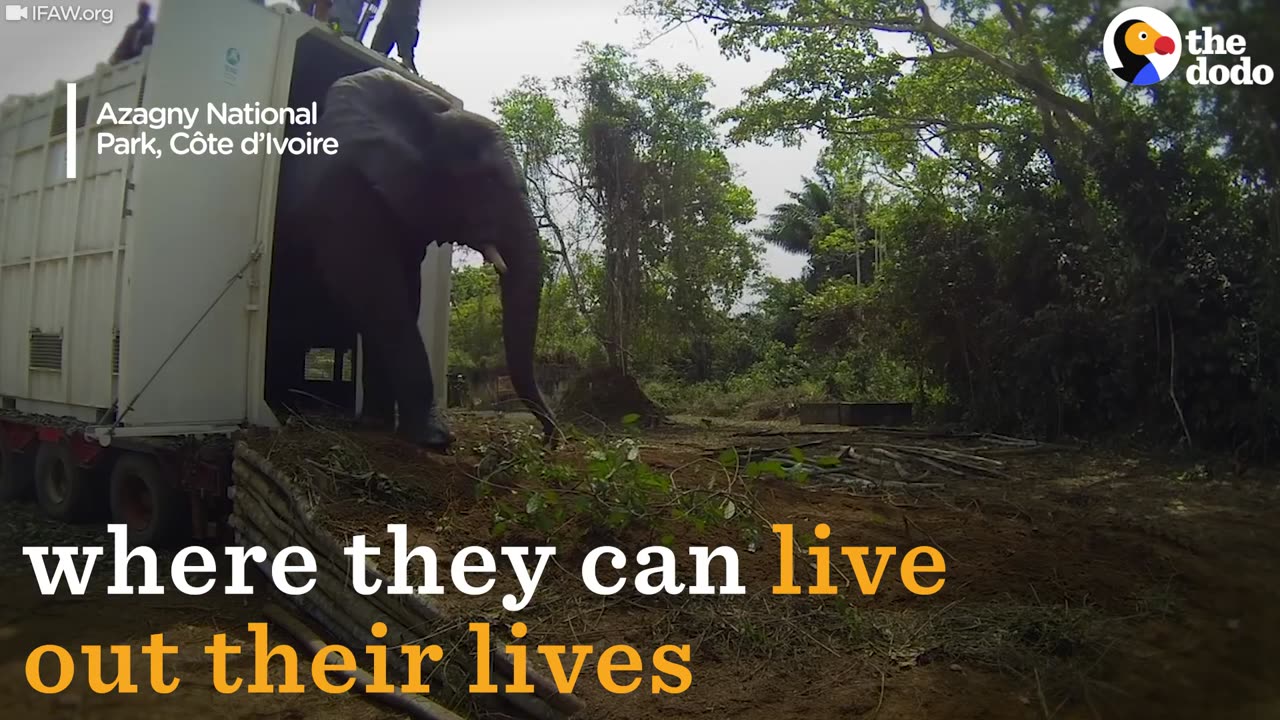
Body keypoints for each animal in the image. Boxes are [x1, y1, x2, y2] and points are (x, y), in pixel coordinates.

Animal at [277, 67, 558, 448]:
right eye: (485, 181)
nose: (548, 440)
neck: (426, 120)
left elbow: (406, 293)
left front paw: (378, 426)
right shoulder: (340, 195)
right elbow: (379, 292)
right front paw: (434, 439)